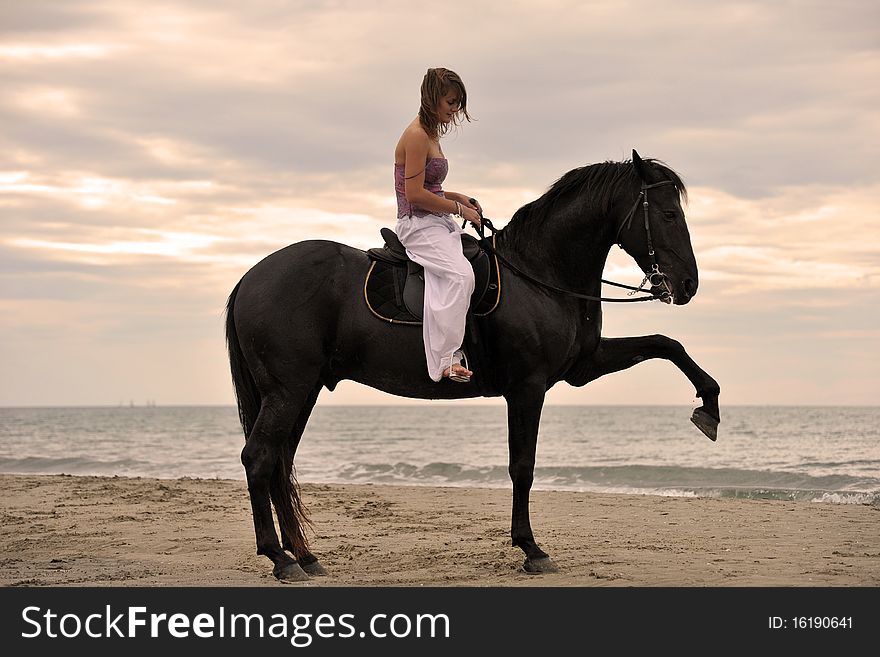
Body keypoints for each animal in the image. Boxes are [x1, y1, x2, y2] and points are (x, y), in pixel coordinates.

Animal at [225, 147, 720, 580]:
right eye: (669, 215)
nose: (688, 284)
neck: (537, 271)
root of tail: (251, 277)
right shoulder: (527, 388)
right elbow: (523, 466)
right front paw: (531, 548)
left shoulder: (583, 366)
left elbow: (666, 344)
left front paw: (709, 407)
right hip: (288, 391)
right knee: (259, 458)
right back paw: (280, 558)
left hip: (302, 391)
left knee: (280, 461)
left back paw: (304, 556)